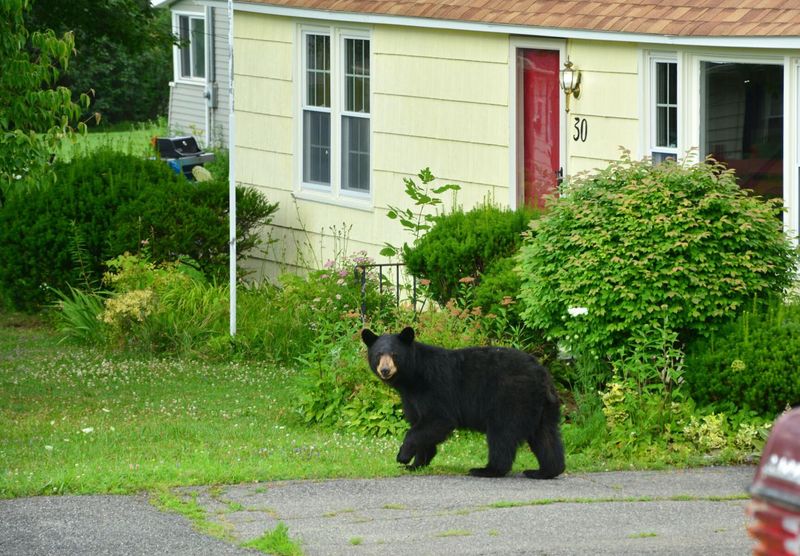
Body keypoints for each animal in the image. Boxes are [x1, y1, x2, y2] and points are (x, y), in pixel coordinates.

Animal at [361, 326, 565, 479]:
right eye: (378, 354)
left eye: (394, 354)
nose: (385, 370)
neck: (412, 378)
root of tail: (542, 374)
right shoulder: (411, 399)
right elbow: (421, 425)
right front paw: (416, 464)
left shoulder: (434, 388)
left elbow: (437, 421)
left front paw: (402, 456)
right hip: (542, 406)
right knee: (545, 435)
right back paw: (544, 471)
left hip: (511, 397)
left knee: (502, 433)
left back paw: (486, 470)